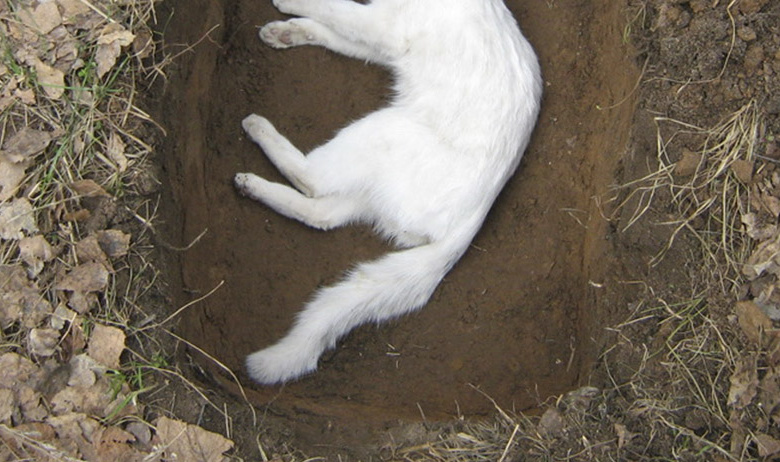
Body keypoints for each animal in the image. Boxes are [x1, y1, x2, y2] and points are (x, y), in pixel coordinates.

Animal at [234, 0, 542, 385]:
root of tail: (470, 225)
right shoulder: (381, 42)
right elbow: (333, 32)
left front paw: (289, 8)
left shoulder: (383, 25)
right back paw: (250, 183)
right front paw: (285, 32)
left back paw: (257, 129)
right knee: (321, 214)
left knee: (312, 181)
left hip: (376, 132)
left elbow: (333, 11)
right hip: (367, 174)